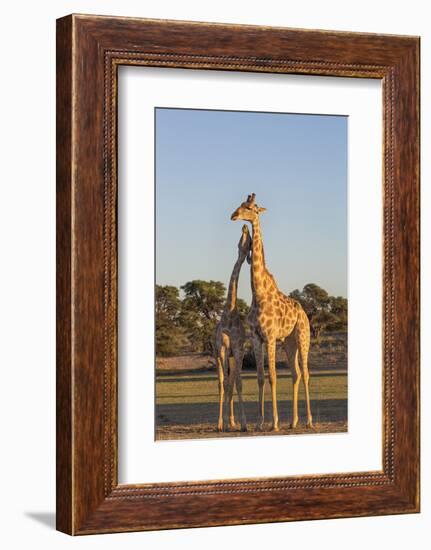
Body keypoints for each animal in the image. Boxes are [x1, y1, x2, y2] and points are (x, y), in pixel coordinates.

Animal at [233, 196, 314, 434]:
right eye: (240, 204)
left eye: (250, 207)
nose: (233, 215)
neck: (258, 293)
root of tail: (303, 312)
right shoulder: (256, 338)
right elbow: (260, 377)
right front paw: (260, 422)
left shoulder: (269, 337)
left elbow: (273, 376)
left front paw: (274, 422)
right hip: (288, 342)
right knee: (296, 374)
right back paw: (294, 421)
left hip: (303, 337)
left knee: (306, 373)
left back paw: (308, 420)